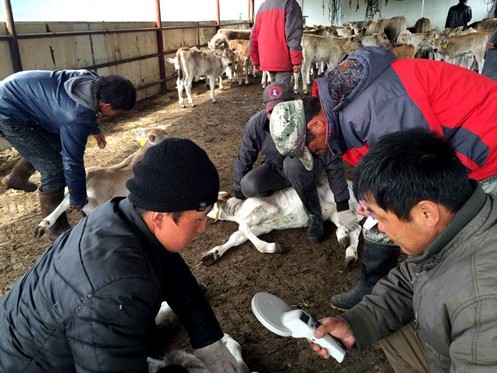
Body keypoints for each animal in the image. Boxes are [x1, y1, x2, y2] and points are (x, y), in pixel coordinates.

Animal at [203, 179, 362, 266]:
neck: (235, 211)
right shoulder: (261, 227)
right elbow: (237, 236)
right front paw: (211, 255)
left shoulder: (266, 208)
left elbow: (242, 227)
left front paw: (274, 247)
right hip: (335, 214)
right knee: (355, 228)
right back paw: (347, 247)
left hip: (340, 204)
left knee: (356, 227)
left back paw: (345, 244)